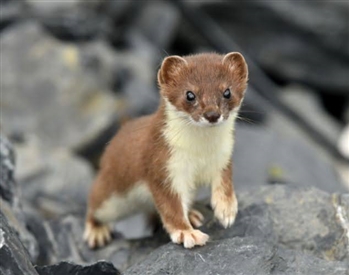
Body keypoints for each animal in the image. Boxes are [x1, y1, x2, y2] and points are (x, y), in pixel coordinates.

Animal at [83, 52, 247, 250]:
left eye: (227, 92)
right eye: (190, 94)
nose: (212, 114)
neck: (201, 152)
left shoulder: (224, 156)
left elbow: (225, 182)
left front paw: (226, 208)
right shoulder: (162, 165)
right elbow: (171, 206)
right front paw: (187, 233)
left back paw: (192, 214)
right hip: (109, 192)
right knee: (94, 202)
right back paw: (97, 231)